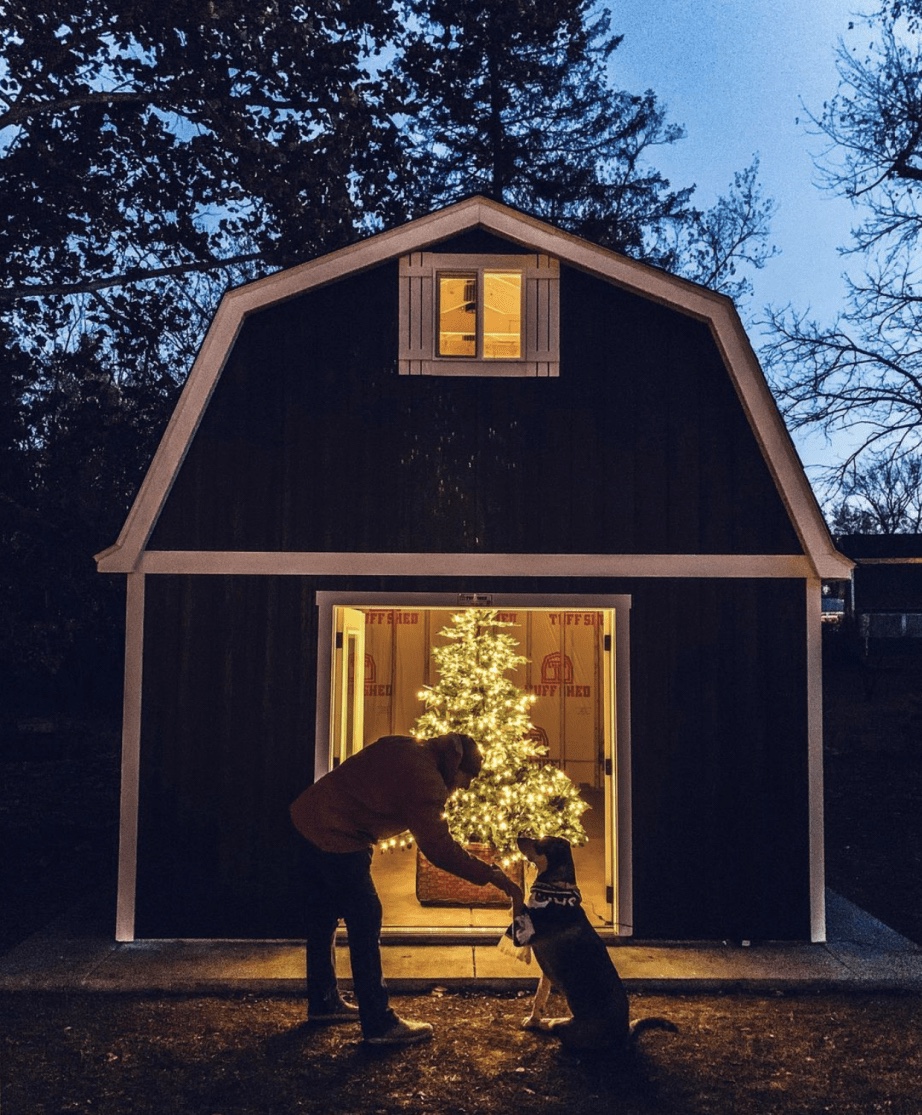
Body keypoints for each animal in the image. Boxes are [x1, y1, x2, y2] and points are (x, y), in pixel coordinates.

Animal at [512, 838, 677, 1052]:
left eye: (539, 843)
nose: (517, 835)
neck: (554, 892)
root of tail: (624, 1034)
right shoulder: (545, 973)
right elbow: (539, 997)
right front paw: (533, 1019)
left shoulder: (522, 935)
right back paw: (547, 1020)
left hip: (570, 1030)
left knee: (563, 1035)